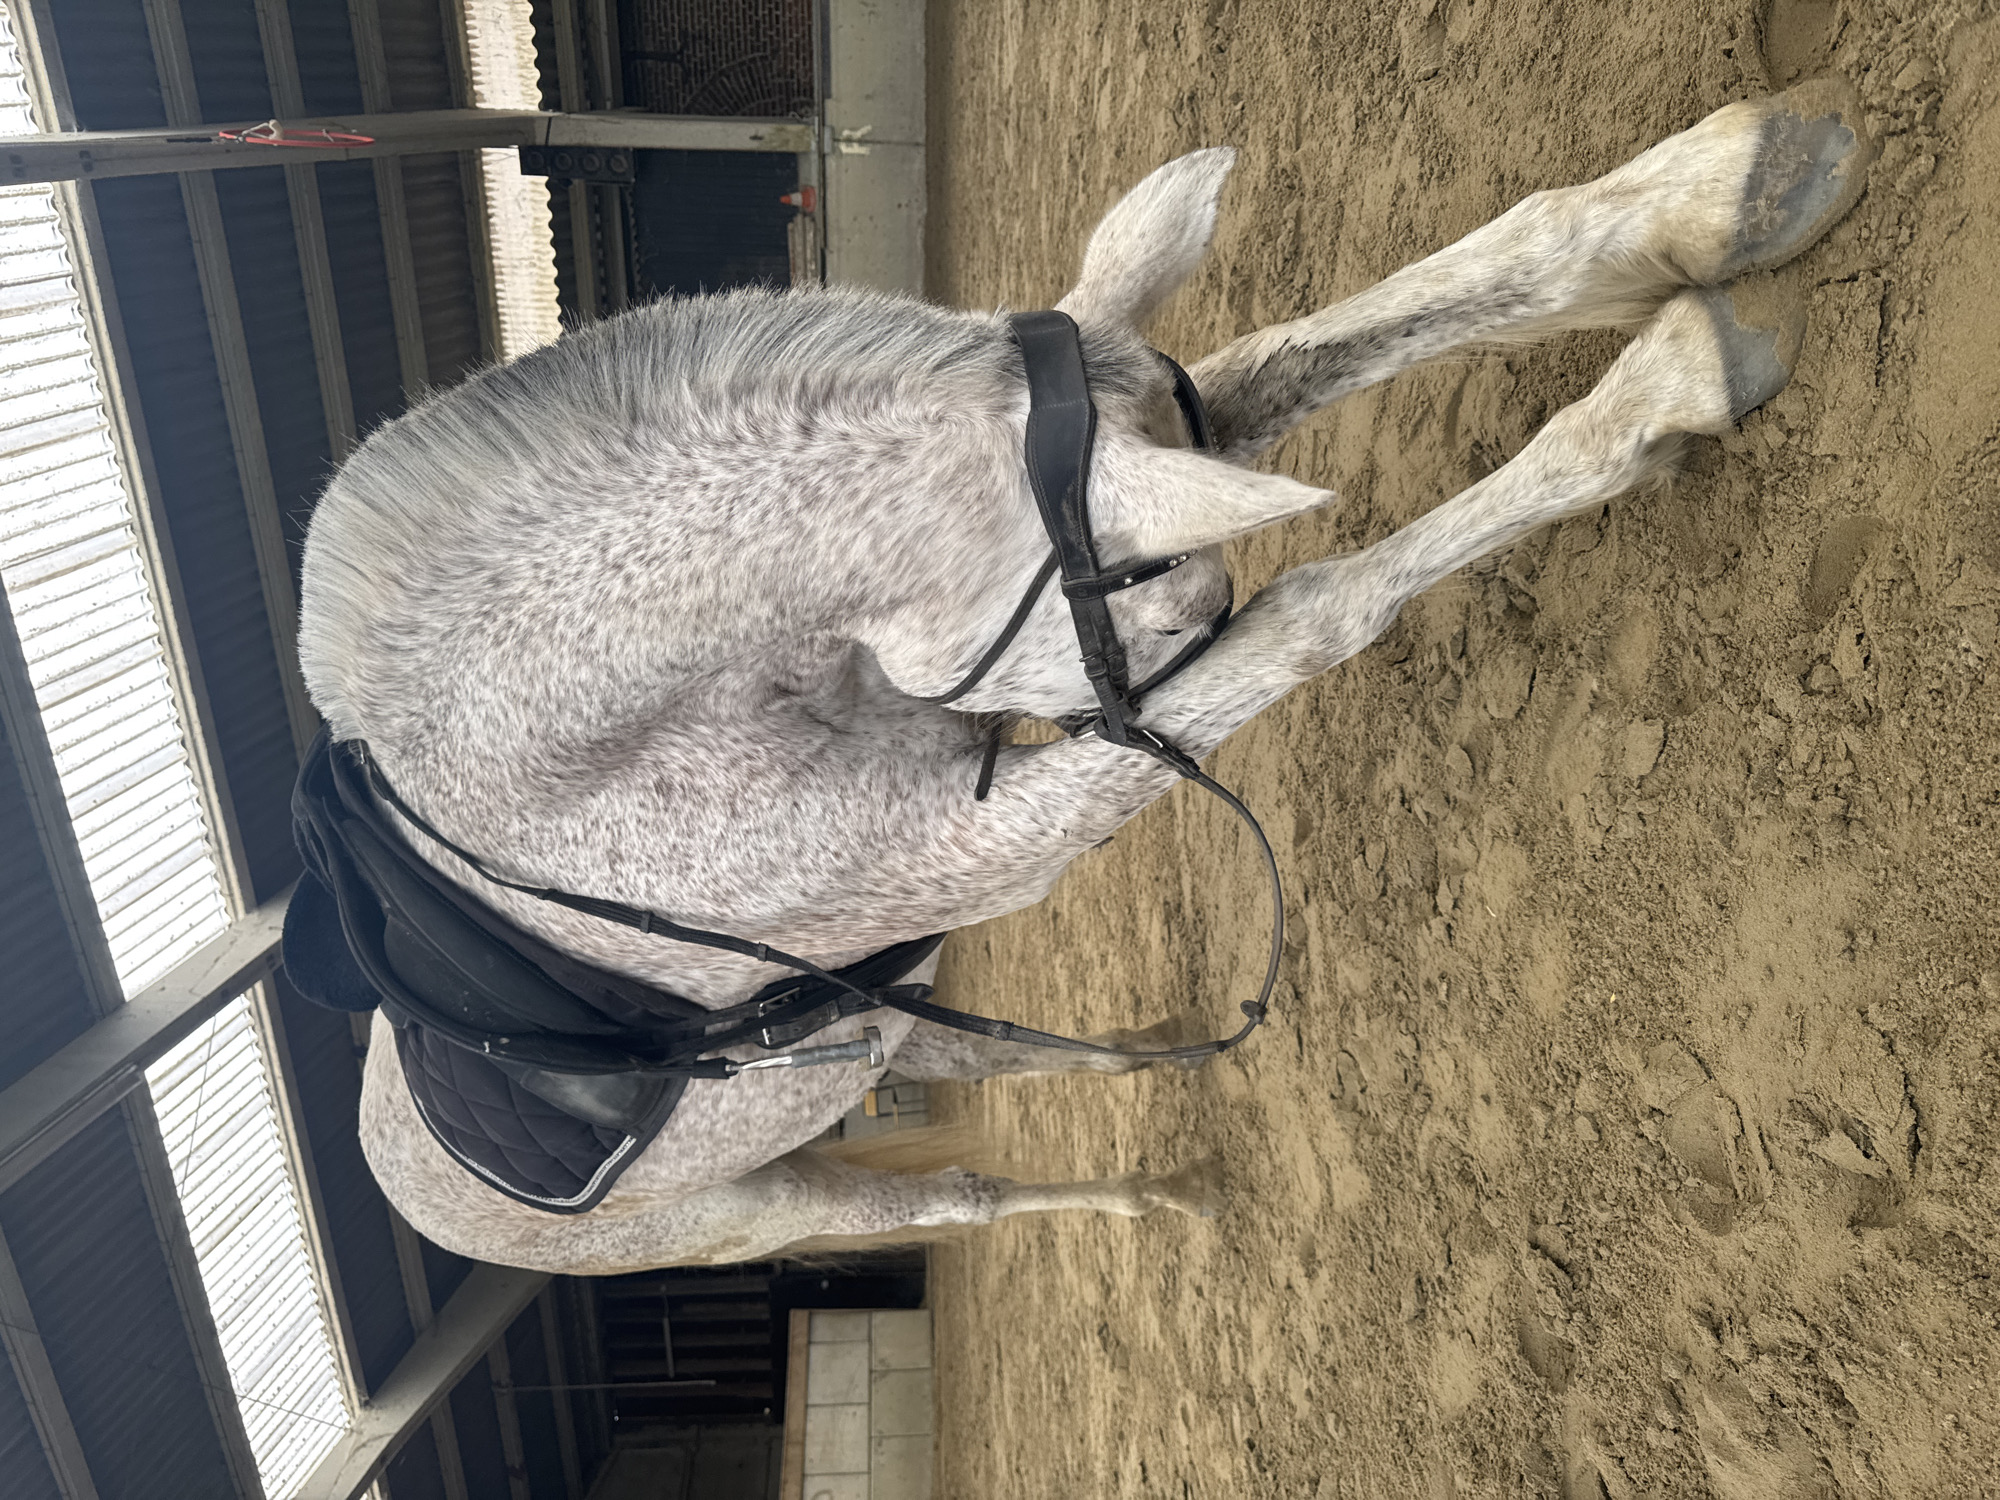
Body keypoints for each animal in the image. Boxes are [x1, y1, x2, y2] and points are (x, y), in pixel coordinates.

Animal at [298, 79, 1874, 1272]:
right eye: (1164, 601)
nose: (1153, 669)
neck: (582, 774)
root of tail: (409, 1188)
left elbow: (1307, 349)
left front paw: (1724, 197)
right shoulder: (972, 847)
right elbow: (1318, 608)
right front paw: (1663, 386)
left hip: (882, 1042)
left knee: (1011, 1065)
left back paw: (1159, 1078)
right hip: (762, 1207)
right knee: (962, 1199)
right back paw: (1149, 1197)